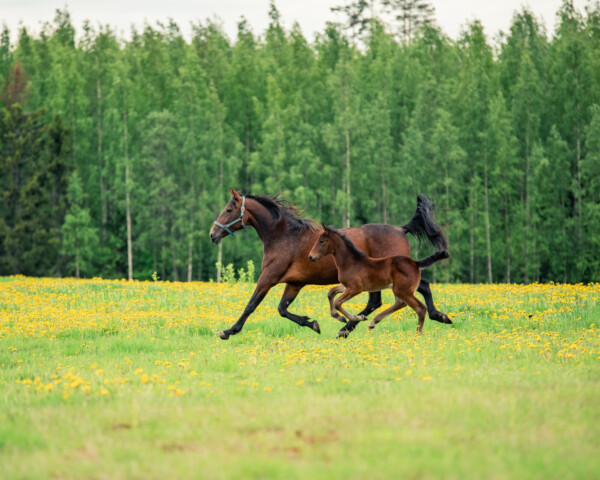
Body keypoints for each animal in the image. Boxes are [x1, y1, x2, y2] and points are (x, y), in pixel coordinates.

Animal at [308, 225, 448, 334]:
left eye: (322, 241)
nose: (311, 257)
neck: (351, 262)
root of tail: (416, 263)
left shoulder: (355, 288)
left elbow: (337, 302)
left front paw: (357, 318)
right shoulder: (347, 286)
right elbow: (331, 293)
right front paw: (340, 317)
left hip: (402, 290)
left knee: (420, 308)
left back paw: (418, 334)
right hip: (398, 289)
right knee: (400, 303)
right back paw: (373, 322)